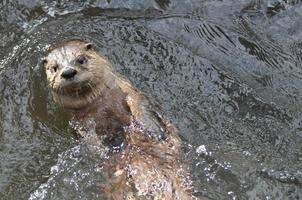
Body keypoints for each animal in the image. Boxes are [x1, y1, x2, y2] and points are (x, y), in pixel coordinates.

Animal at [42, 39, 198, 199]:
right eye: (54, 68)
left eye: (80, 59)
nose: (68, 72)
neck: (100, 103)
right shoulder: (79, 120)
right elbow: (87, 134)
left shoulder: (127, 90)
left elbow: (140, 105)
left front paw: (153, 130)